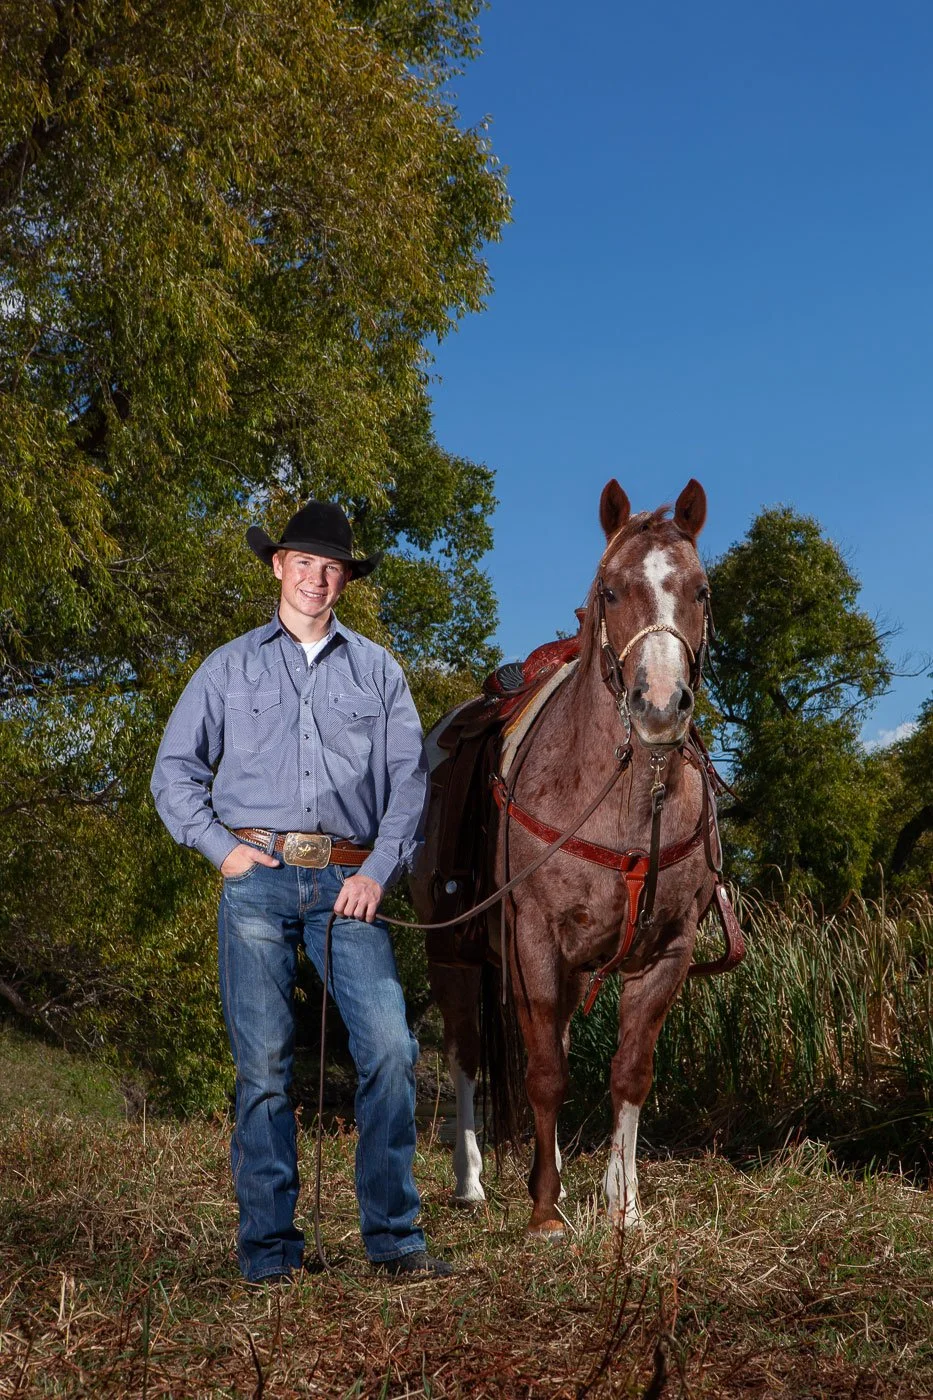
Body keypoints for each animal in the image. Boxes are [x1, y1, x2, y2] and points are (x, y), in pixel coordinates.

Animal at [413, 479, 728, 1236]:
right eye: (611, 590)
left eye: (701, 590)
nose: (659, 705)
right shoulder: (533, 939)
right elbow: (546, 1074)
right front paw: (546, 1216)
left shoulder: (668, 951)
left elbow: (628, 1071)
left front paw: (626, 1206)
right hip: (454, 955)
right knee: (467, 1055)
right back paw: (471, 1182)